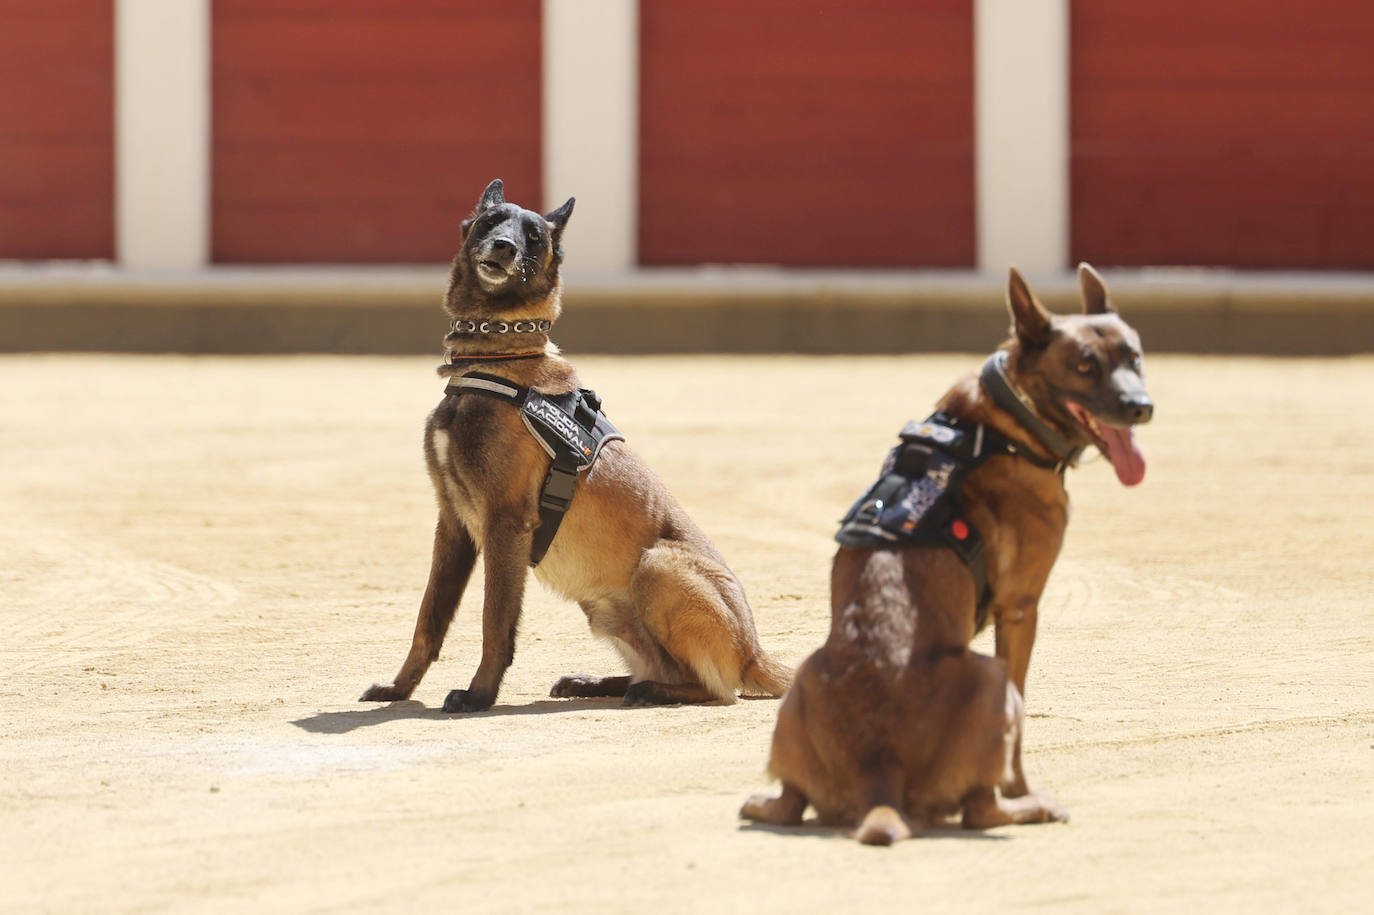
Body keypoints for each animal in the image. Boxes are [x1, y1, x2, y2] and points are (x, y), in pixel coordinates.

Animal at [359, 175, 791, 703]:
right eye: (490, 221)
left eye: (534, 238)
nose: (504, 247)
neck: (498, 360)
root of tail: (754, 652)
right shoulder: (453, 526)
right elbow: (429, 620)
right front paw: (399, 689)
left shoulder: (505, 525)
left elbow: (493, 623)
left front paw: (479, 696)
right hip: (604, 608)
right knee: (663, 670)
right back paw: (599, 683)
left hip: (658, 566)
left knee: (715, 689)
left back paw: (649, 692)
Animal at [741, 263, 1148, 840]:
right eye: (1085, 365)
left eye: (1134, 356)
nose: (1142, 407)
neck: (1007, 422)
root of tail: (879, 766)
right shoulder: (1021, 609)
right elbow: (1016, 744)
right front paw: (1021, 786)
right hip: (991, 678)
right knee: (982, 811)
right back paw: (1035, 806)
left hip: (798, 686)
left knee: (788, 802)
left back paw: (762, 802)